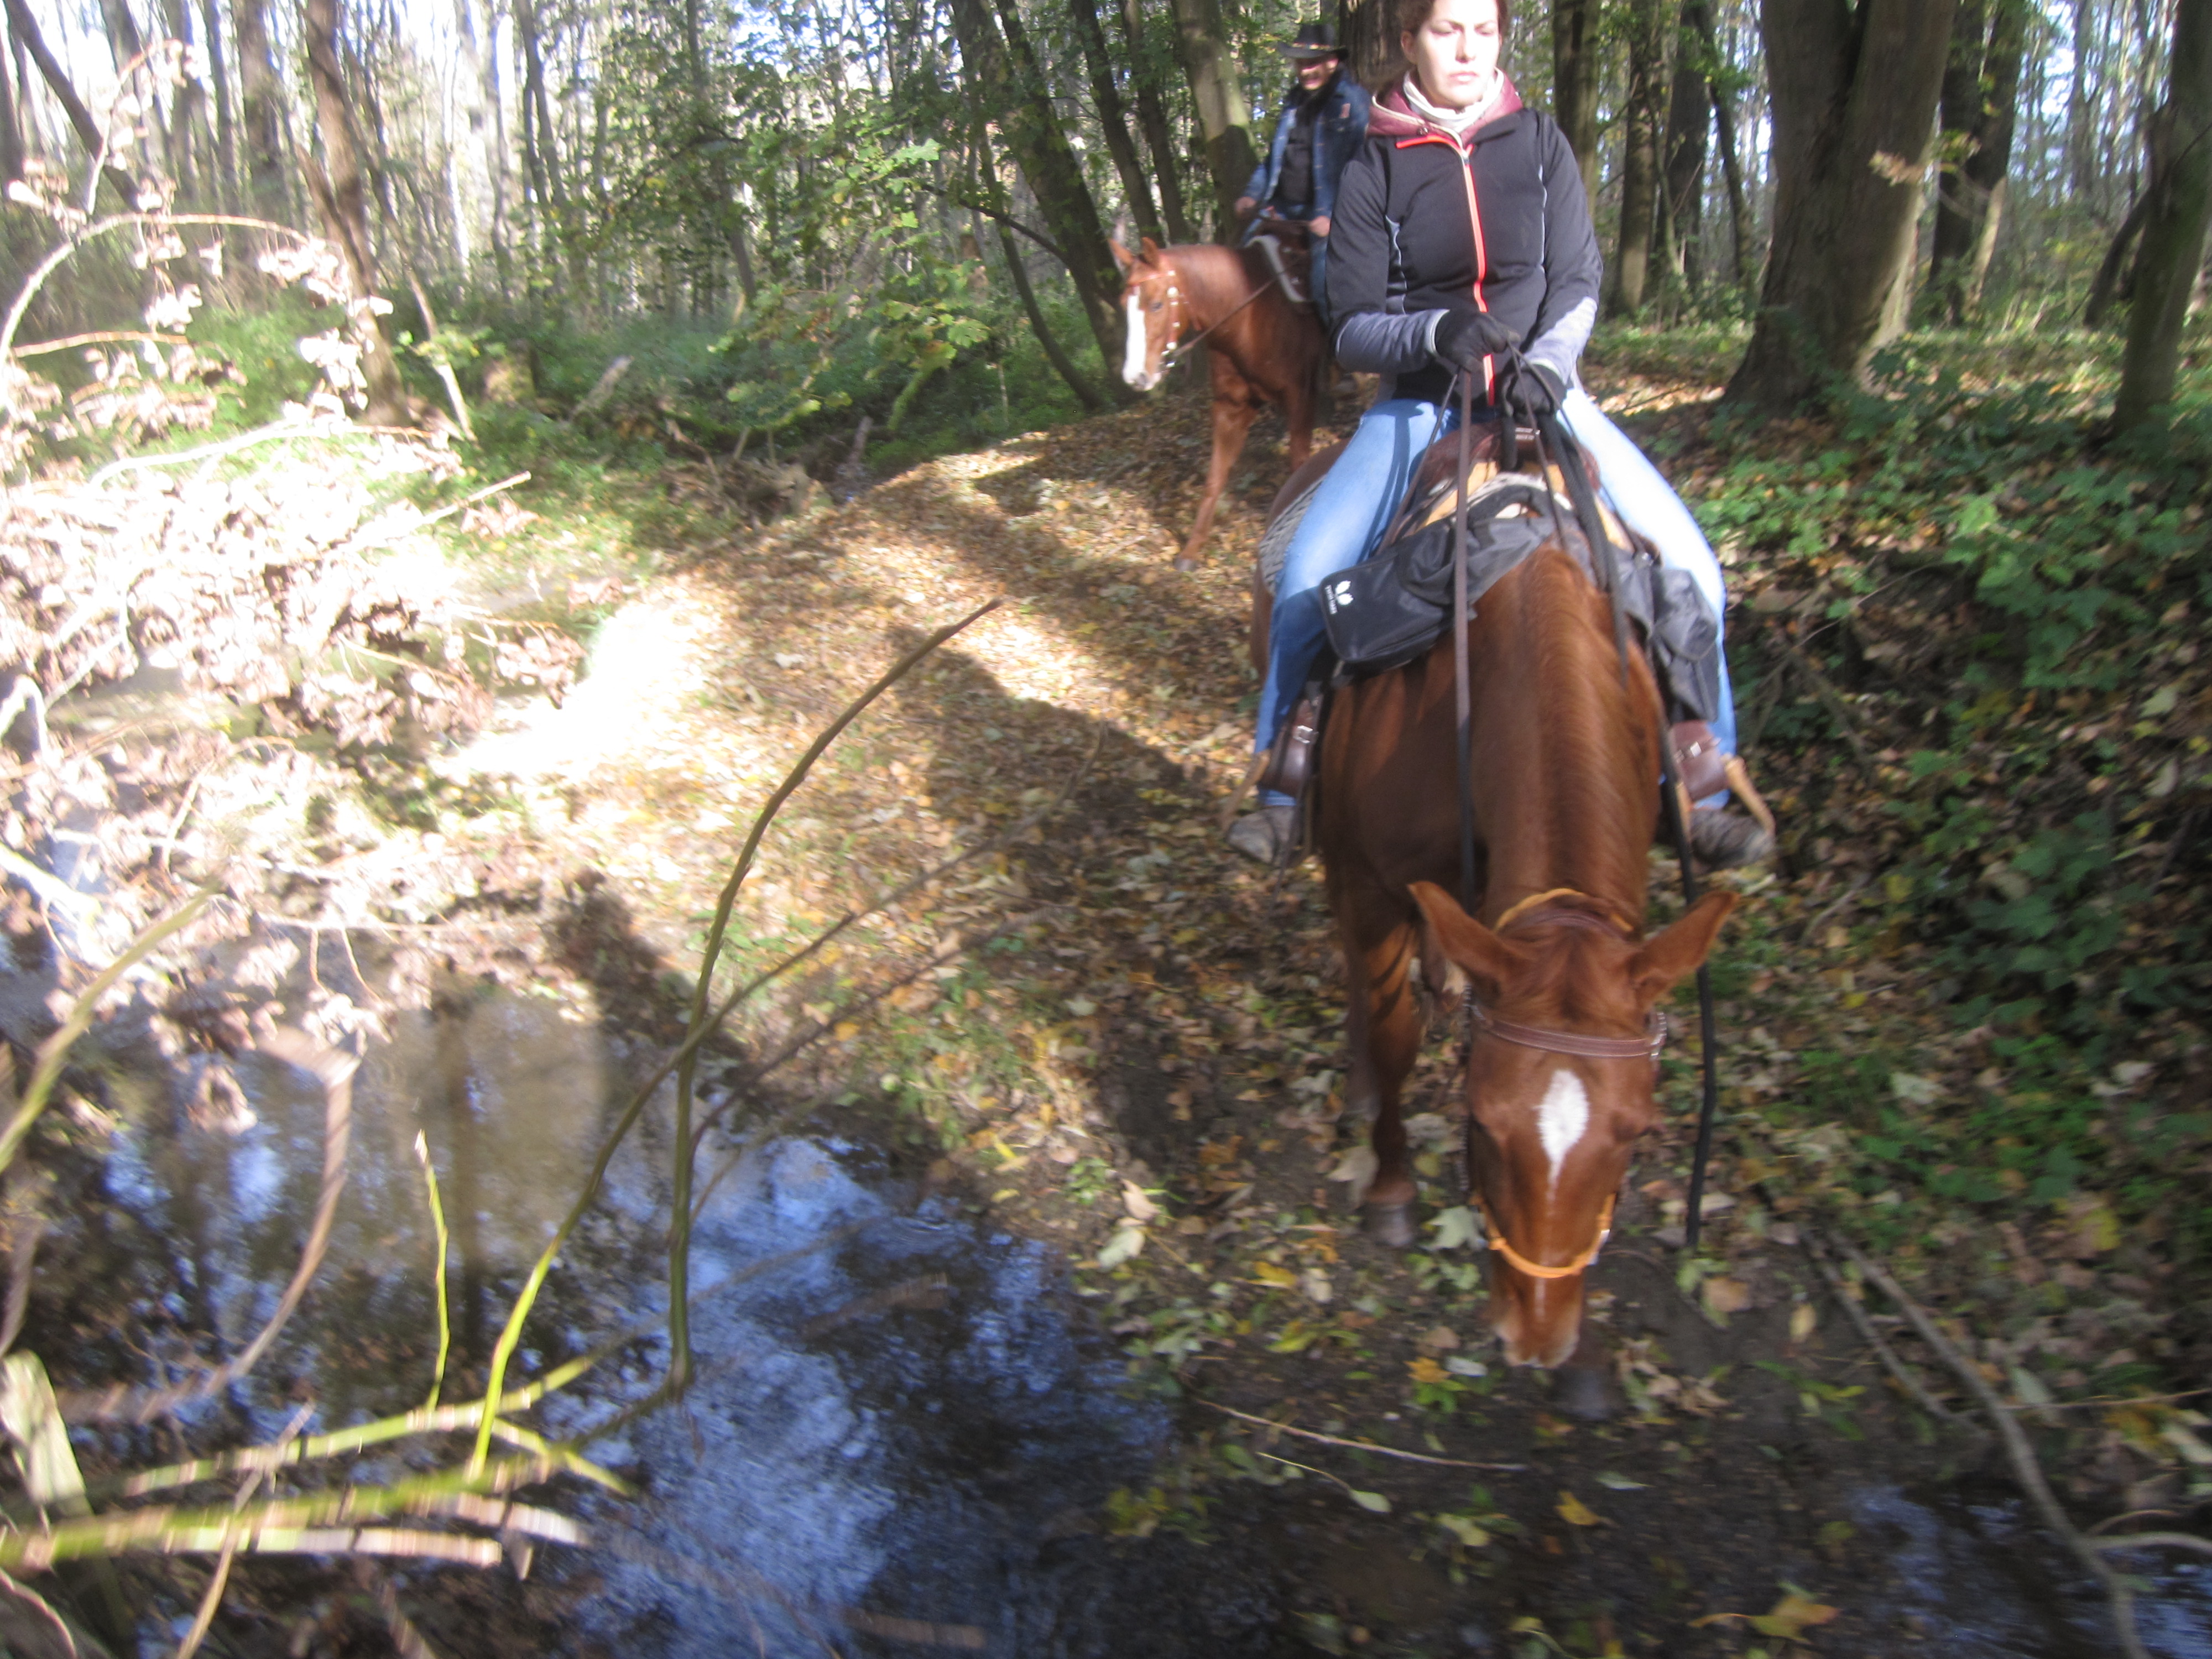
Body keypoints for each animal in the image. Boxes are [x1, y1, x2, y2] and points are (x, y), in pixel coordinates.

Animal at [1113, 236, 1327, 571]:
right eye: (1125, 305)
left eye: (1157, 304)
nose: (1135, 377)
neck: (1247, 318)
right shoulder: (1231, 407)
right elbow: (1214, 477)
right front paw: (1192, 549)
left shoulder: (1301, 398)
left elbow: (1298, 468)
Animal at [1262, 430, 1736, 1375]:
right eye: (1481, 1121)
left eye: (1637, 1133)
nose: (1538, 1337)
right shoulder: (1373, 881)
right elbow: (1394, 1032)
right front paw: (1393, 1191)